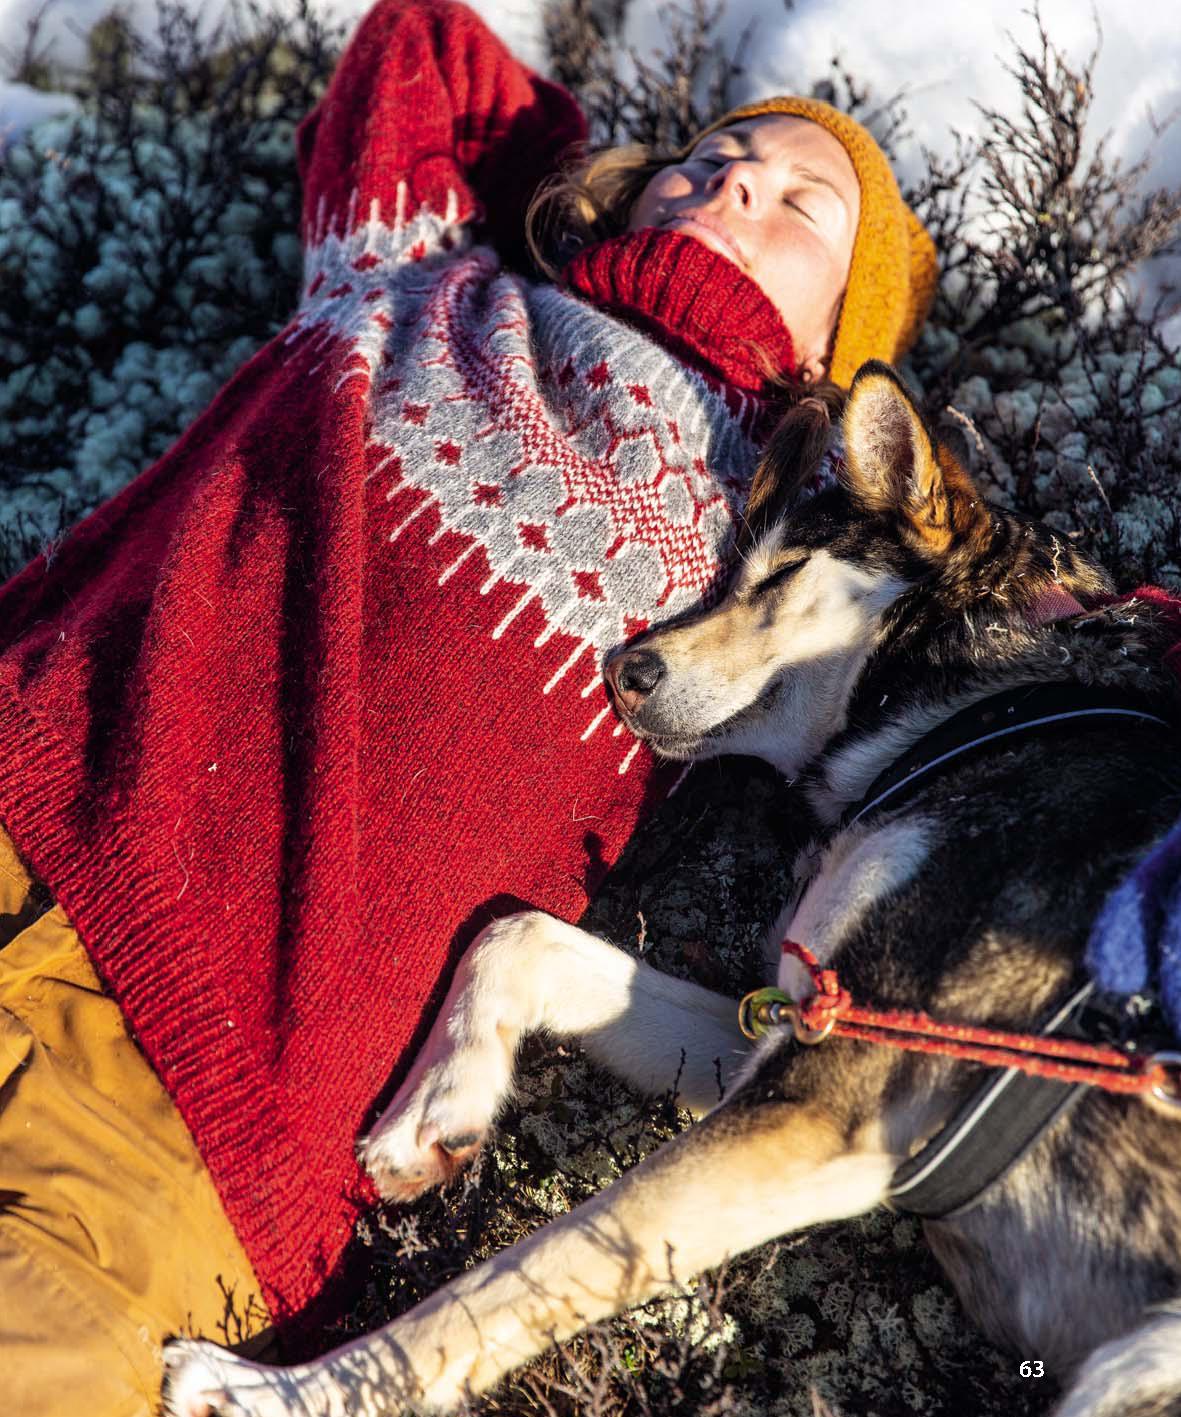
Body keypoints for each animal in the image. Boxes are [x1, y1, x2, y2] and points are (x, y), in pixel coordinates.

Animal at [158, 362, 1179, 1417]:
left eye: (781, 574)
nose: (618, 668)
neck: (992, 700)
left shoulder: (825, 1105)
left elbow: (519, 1272)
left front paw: (275, 1392)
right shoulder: (790, 1032)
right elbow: (515, 934)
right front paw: (435, 1111)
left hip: (1141, 1353)